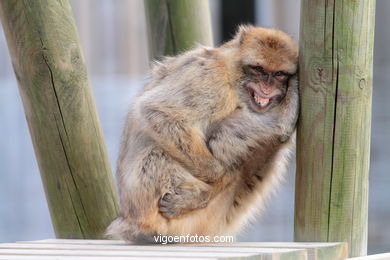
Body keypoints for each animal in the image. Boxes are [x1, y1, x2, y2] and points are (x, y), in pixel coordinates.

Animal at [106, 25, 298, 243]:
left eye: (279, 74)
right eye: (258, 69)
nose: (267, 87)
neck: (233, 77)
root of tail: (127, 220)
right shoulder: (212, 81)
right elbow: (158, 111)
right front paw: (220, 178)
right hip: (150, 207)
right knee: (156, 154)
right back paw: (202, 194)